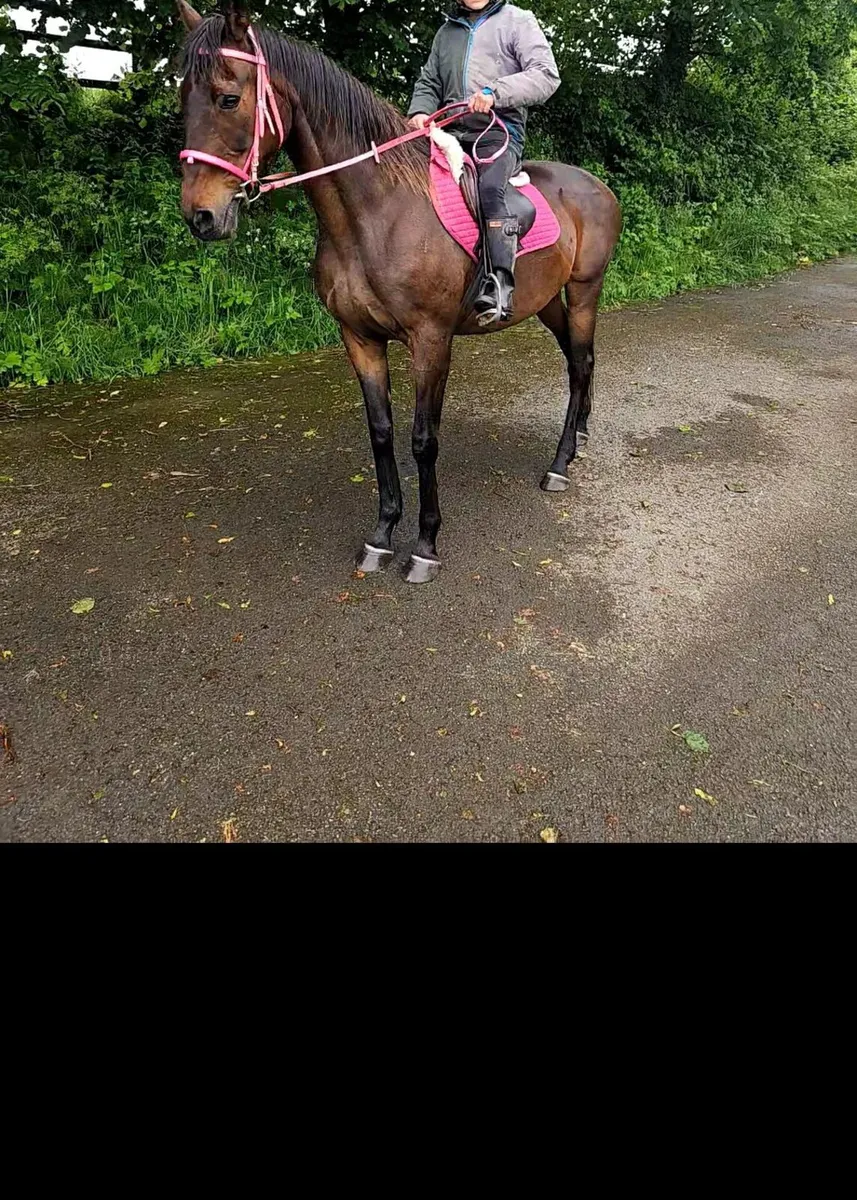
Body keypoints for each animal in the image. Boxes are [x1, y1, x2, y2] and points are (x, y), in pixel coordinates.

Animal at [177, 2, 622, 584]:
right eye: (181, 99)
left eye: (228, 98)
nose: (201, 216)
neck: (376, 213)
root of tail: (597, 186)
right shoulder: (360, 338)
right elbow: (382, 432)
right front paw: (383, 534)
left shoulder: (431, 341)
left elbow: (423, 440)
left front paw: (426, 545)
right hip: (546, 301)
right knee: (576, 359)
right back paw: (579, 438)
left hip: (585, 289)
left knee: (582, 362)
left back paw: (560, 463)